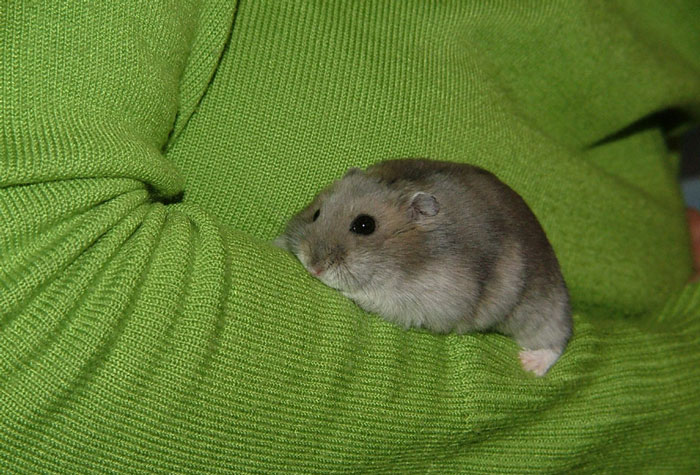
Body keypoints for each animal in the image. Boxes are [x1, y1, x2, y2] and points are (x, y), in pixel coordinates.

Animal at [275, 158, 572, 376]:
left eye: (364, 225)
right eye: (316, 214)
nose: (313, 266)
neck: (407, 257)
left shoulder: (426, 299)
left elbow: (373, 297)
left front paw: (349, 292)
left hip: (539, 308)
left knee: (558, 339)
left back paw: (530, 364)